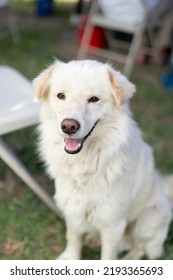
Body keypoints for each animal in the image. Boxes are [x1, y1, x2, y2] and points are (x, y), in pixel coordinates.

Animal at [33, 59, 173, 260]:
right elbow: (73, 237)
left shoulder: (113, 224)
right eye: (61, 95)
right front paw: (71, 257)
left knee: (141, 248)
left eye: (93, 99)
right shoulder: (72, 206)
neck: (85, 161)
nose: (69, 126)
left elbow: (107, 255)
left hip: (148, 220)